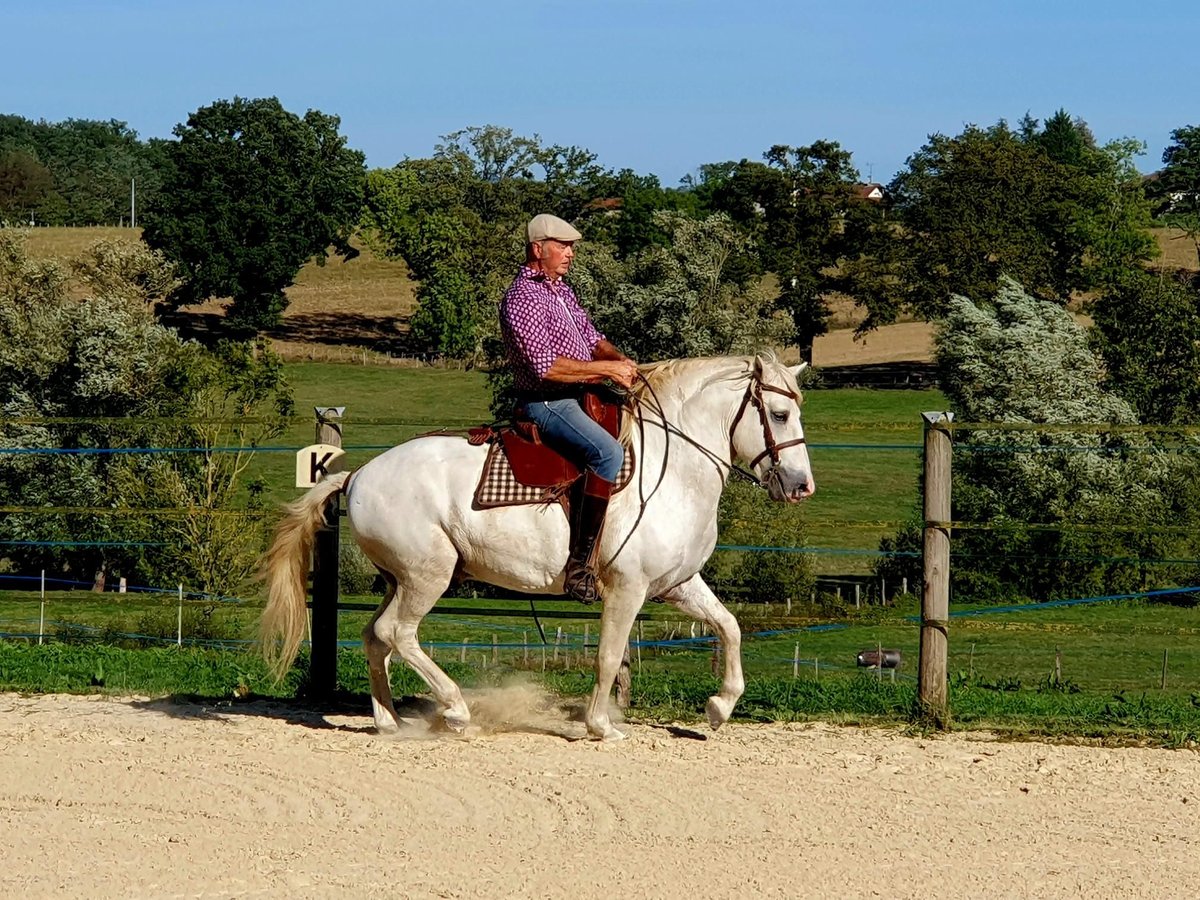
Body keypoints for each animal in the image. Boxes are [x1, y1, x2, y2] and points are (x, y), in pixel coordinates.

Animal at [262, 355, 816, 744]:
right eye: (780, 413)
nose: (801, 485)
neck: (675, 467)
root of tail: (357, 475)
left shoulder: (678, 584)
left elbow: (730, 627)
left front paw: (720, 707)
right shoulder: (628, 590)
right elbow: (609, 657)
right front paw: (601, 725)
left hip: (401, 578)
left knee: (376, 637)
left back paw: (389, 720)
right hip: (427, 576)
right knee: (398, 633)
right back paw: (456, 710)